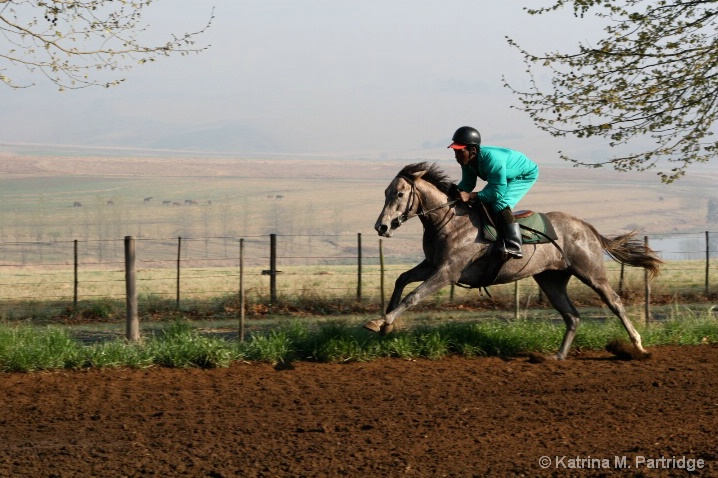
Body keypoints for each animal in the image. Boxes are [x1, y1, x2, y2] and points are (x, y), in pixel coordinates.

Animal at [366, 162, 664, 360]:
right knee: (572, 316)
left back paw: (638, 346)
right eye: (385, 193)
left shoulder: (447, 272)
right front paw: (384, 324)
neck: (448, 221)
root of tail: (586, 227)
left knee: (614, 303)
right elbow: (401, 279)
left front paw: (381, 321)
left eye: (400, 194)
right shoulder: (432, 265)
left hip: (591, 272)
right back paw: (557, 356)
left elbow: (414, 296)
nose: (381, 226)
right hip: (551, 279)